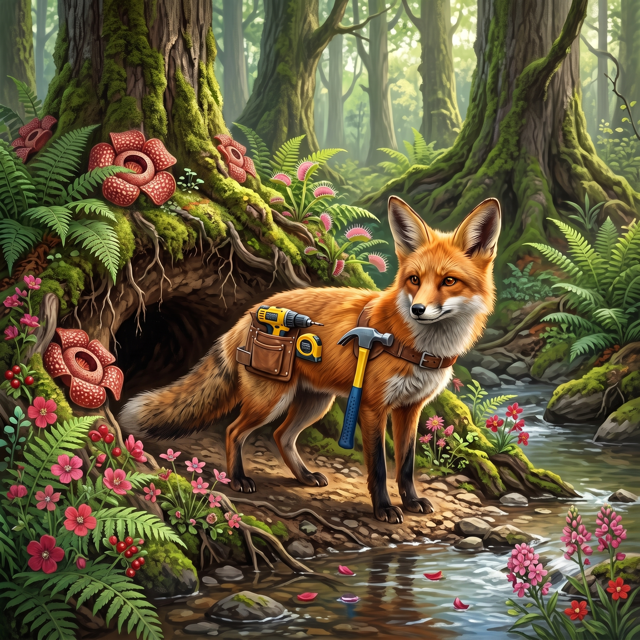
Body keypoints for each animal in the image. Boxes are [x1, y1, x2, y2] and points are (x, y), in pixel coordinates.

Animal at [120, 196, 501, 523]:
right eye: (414, 280)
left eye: (449, 281)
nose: (418, 310)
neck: (419, 347)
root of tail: (248, 314)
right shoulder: (373, 407)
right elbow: (379, 466)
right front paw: (384, 508)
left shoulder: (411, 409)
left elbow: (405, 465)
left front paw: (411, 501)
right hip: (271, 400)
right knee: (234, 430)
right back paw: (239, 479)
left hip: (315, 402)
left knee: (282, 436)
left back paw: (303, 476)